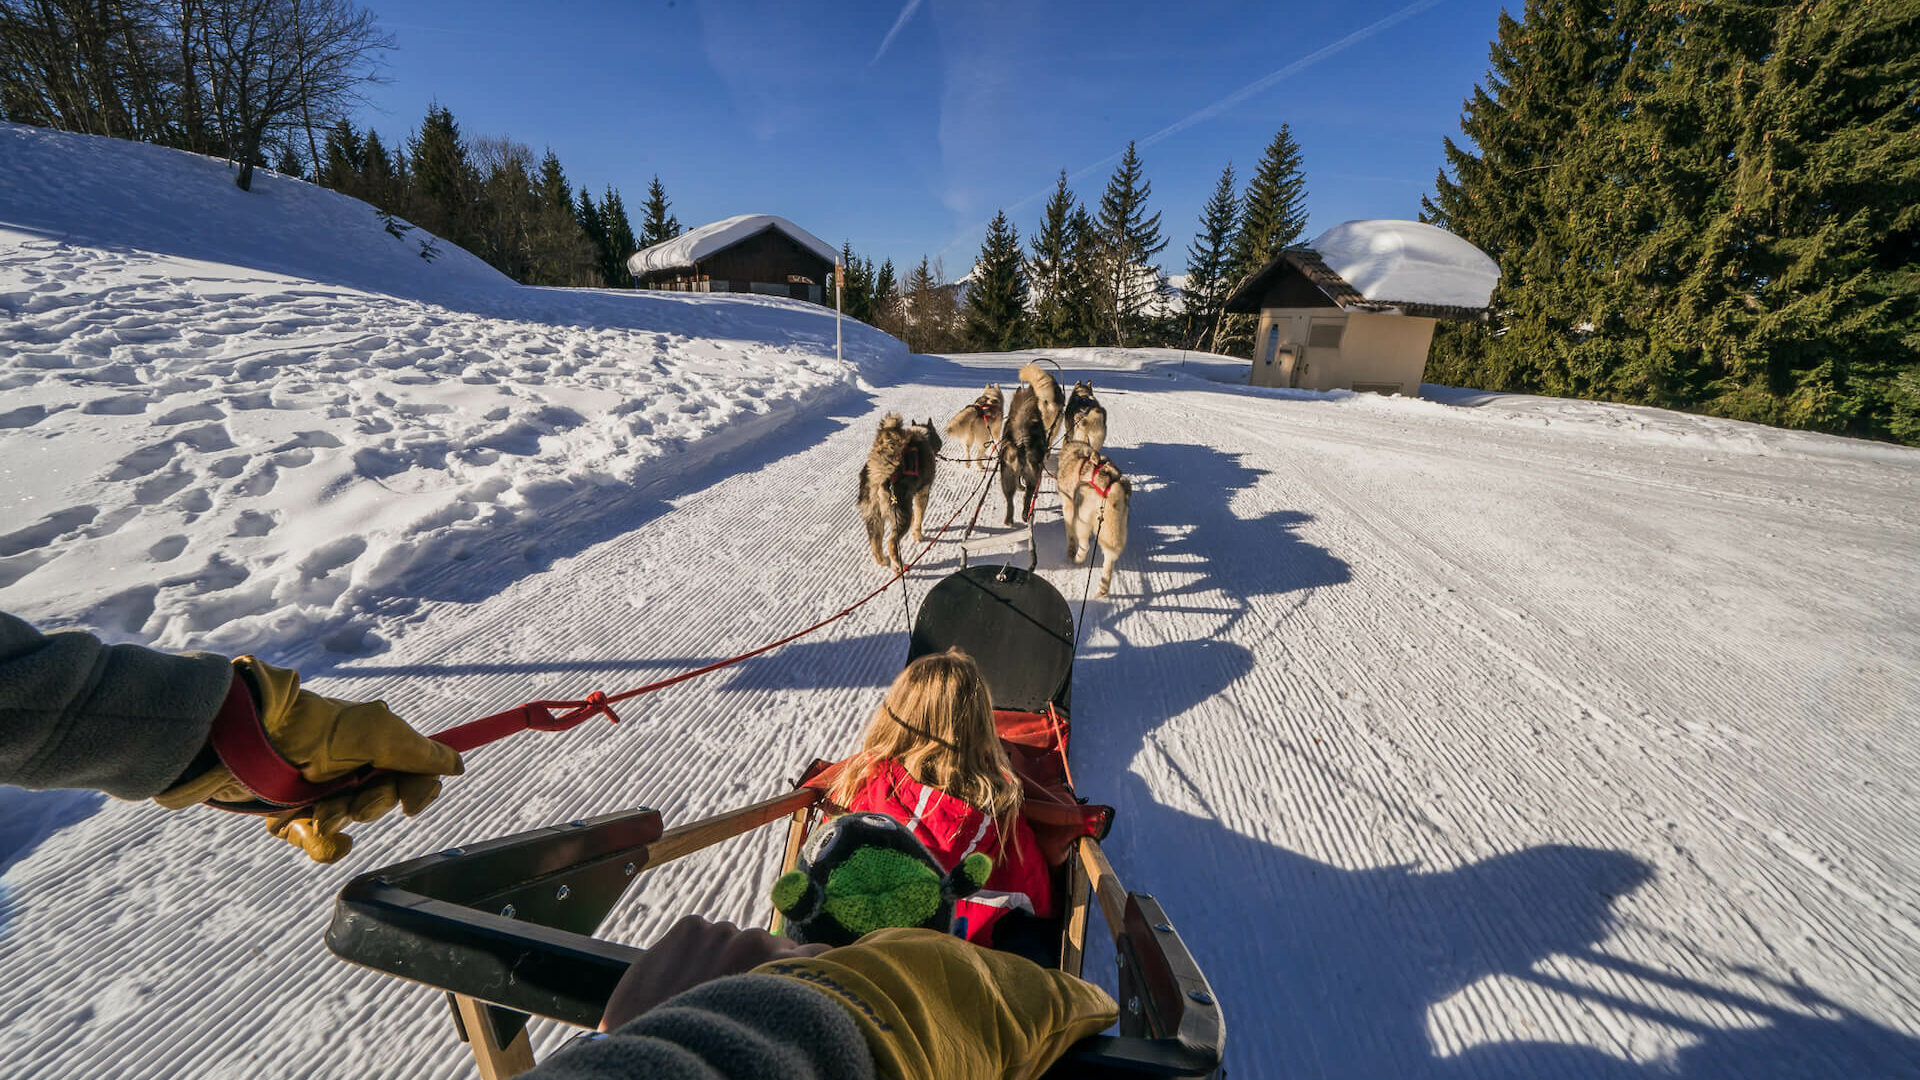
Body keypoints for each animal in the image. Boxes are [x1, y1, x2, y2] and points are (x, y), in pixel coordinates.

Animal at [860, 409, 940, 568]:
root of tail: (878, 476)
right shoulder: (922, 492)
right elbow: (919, 517)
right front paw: (918, 535)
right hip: (900, 515)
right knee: (892, 543)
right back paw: (898, 565)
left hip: (874, 518)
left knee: (875, 545)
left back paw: (883, 560)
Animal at [998, 384, 1044, 522]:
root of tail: (1021, 445)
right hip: (1033, 478)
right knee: (1027, 498)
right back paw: (1026, 513)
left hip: (1006, 477)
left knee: (1009, 501)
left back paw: (1009, 520)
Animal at [1059, 447, 1128, 591]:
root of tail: (1111, 489)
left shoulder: (1068, 506)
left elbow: (1070, 535)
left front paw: (1070, 551)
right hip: (1113, 533)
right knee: (1110, 557)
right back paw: (1102, 590)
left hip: (1081, 520)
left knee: (1084, 545)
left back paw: (1078, 558)